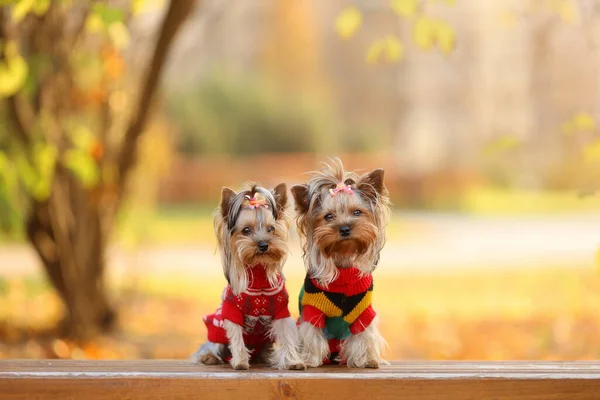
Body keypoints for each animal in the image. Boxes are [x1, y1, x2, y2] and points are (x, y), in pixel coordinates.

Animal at [192, 183, 304, 370]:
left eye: (271, 229)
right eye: (246, 230)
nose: (263, 244)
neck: (259, 274)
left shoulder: (281, 310)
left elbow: (287, 335)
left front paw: (293, 361)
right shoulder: (232, 310)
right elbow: (236, 334)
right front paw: (240, 362)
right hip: (216, 329)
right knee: (211, 345)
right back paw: (209, 357)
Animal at [290, 157, 390, 368]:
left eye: (357, 212)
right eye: (328, 216)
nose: (344, 228)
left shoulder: (364, 313)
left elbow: (363, 335)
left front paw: (366, 360)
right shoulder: (312, 312)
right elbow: (311, 335)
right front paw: (309, 359)